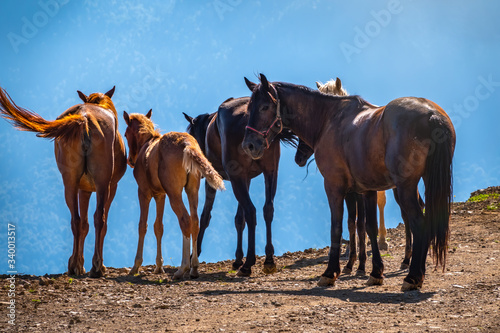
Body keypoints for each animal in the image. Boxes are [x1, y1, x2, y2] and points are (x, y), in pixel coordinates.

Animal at [0, 86, 127, 278]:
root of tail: (84, 118)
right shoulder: (111, 186)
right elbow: (96, 223)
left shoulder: (84, 189)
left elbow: (84, 224)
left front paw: (80, 264)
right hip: (103, 181)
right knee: (100, 218)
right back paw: (97, 266)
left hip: (70, 182)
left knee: (76, 220)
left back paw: (74, 266)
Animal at [123, 109, 225, 278]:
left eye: (125, 134)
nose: (130, 160)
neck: (147, 145)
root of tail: (187, 144)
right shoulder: (160, 195)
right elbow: (158, 227)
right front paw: (159, 266)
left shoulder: (144, 193)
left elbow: (142, 225)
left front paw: (136, 266)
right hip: (192, 190)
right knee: (195, 221)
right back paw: (194, 267)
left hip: (174, 193)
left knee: (185, 220)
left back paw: (183, 268)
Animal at [184, 96, 296, 274]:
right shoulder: (246, 178)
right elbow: (239, 219)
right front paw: (237, 258)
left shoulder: (214, 180)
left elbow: (205, 216)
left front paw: (195, 254)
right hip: (270, 172)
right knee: (267, 209)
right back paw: (268, 259)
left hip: (238, 179)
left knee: (251, 211)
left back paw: (249, 262)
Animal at [242, 74, 458, 290]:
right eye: (249, 108)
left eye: (264, 107)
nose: (248, 145)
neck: (329, 119)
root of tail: (431, 114)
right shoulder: (368, 189)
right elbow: (368, 227)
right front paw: (375, 271)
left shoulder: (334, 187)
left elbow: (337, 227)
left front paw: (331, 272)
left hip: (405, 188)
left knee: (419, 224)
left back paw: (413, 276)